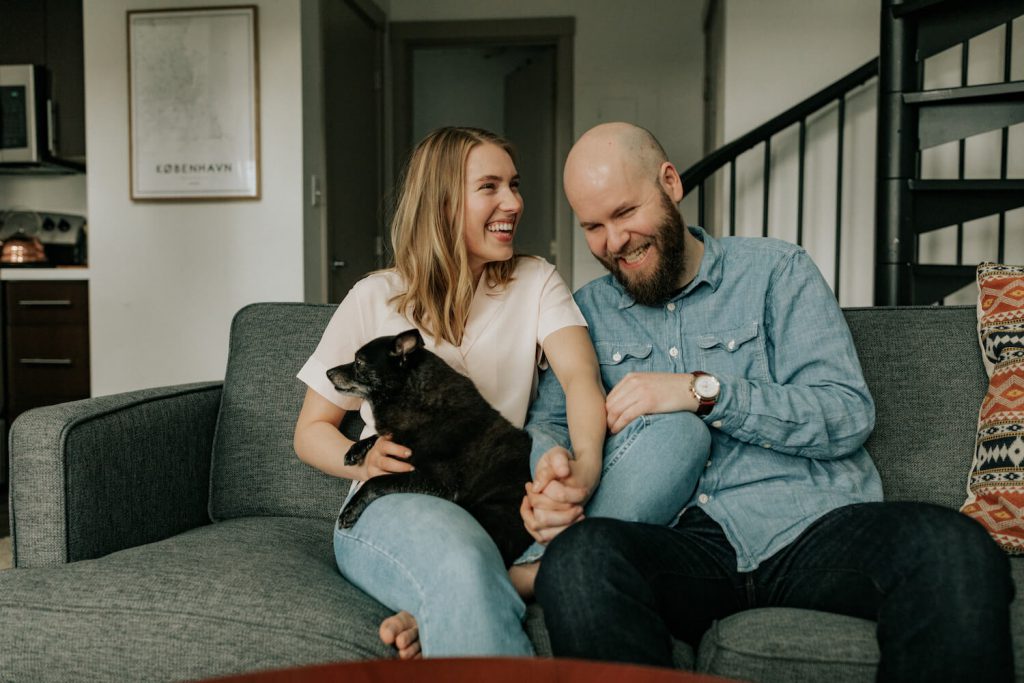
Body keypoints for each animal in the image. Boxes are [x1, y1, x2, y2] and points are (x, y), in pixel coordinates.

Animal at [327, 327, 536, 569]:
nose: (328, 372)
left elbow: (375, 481)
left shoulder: (436, 480)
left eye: (359, 362)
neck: (413, 395)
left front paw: (351, 508)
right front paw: (356, 449)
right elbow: (377, 437)